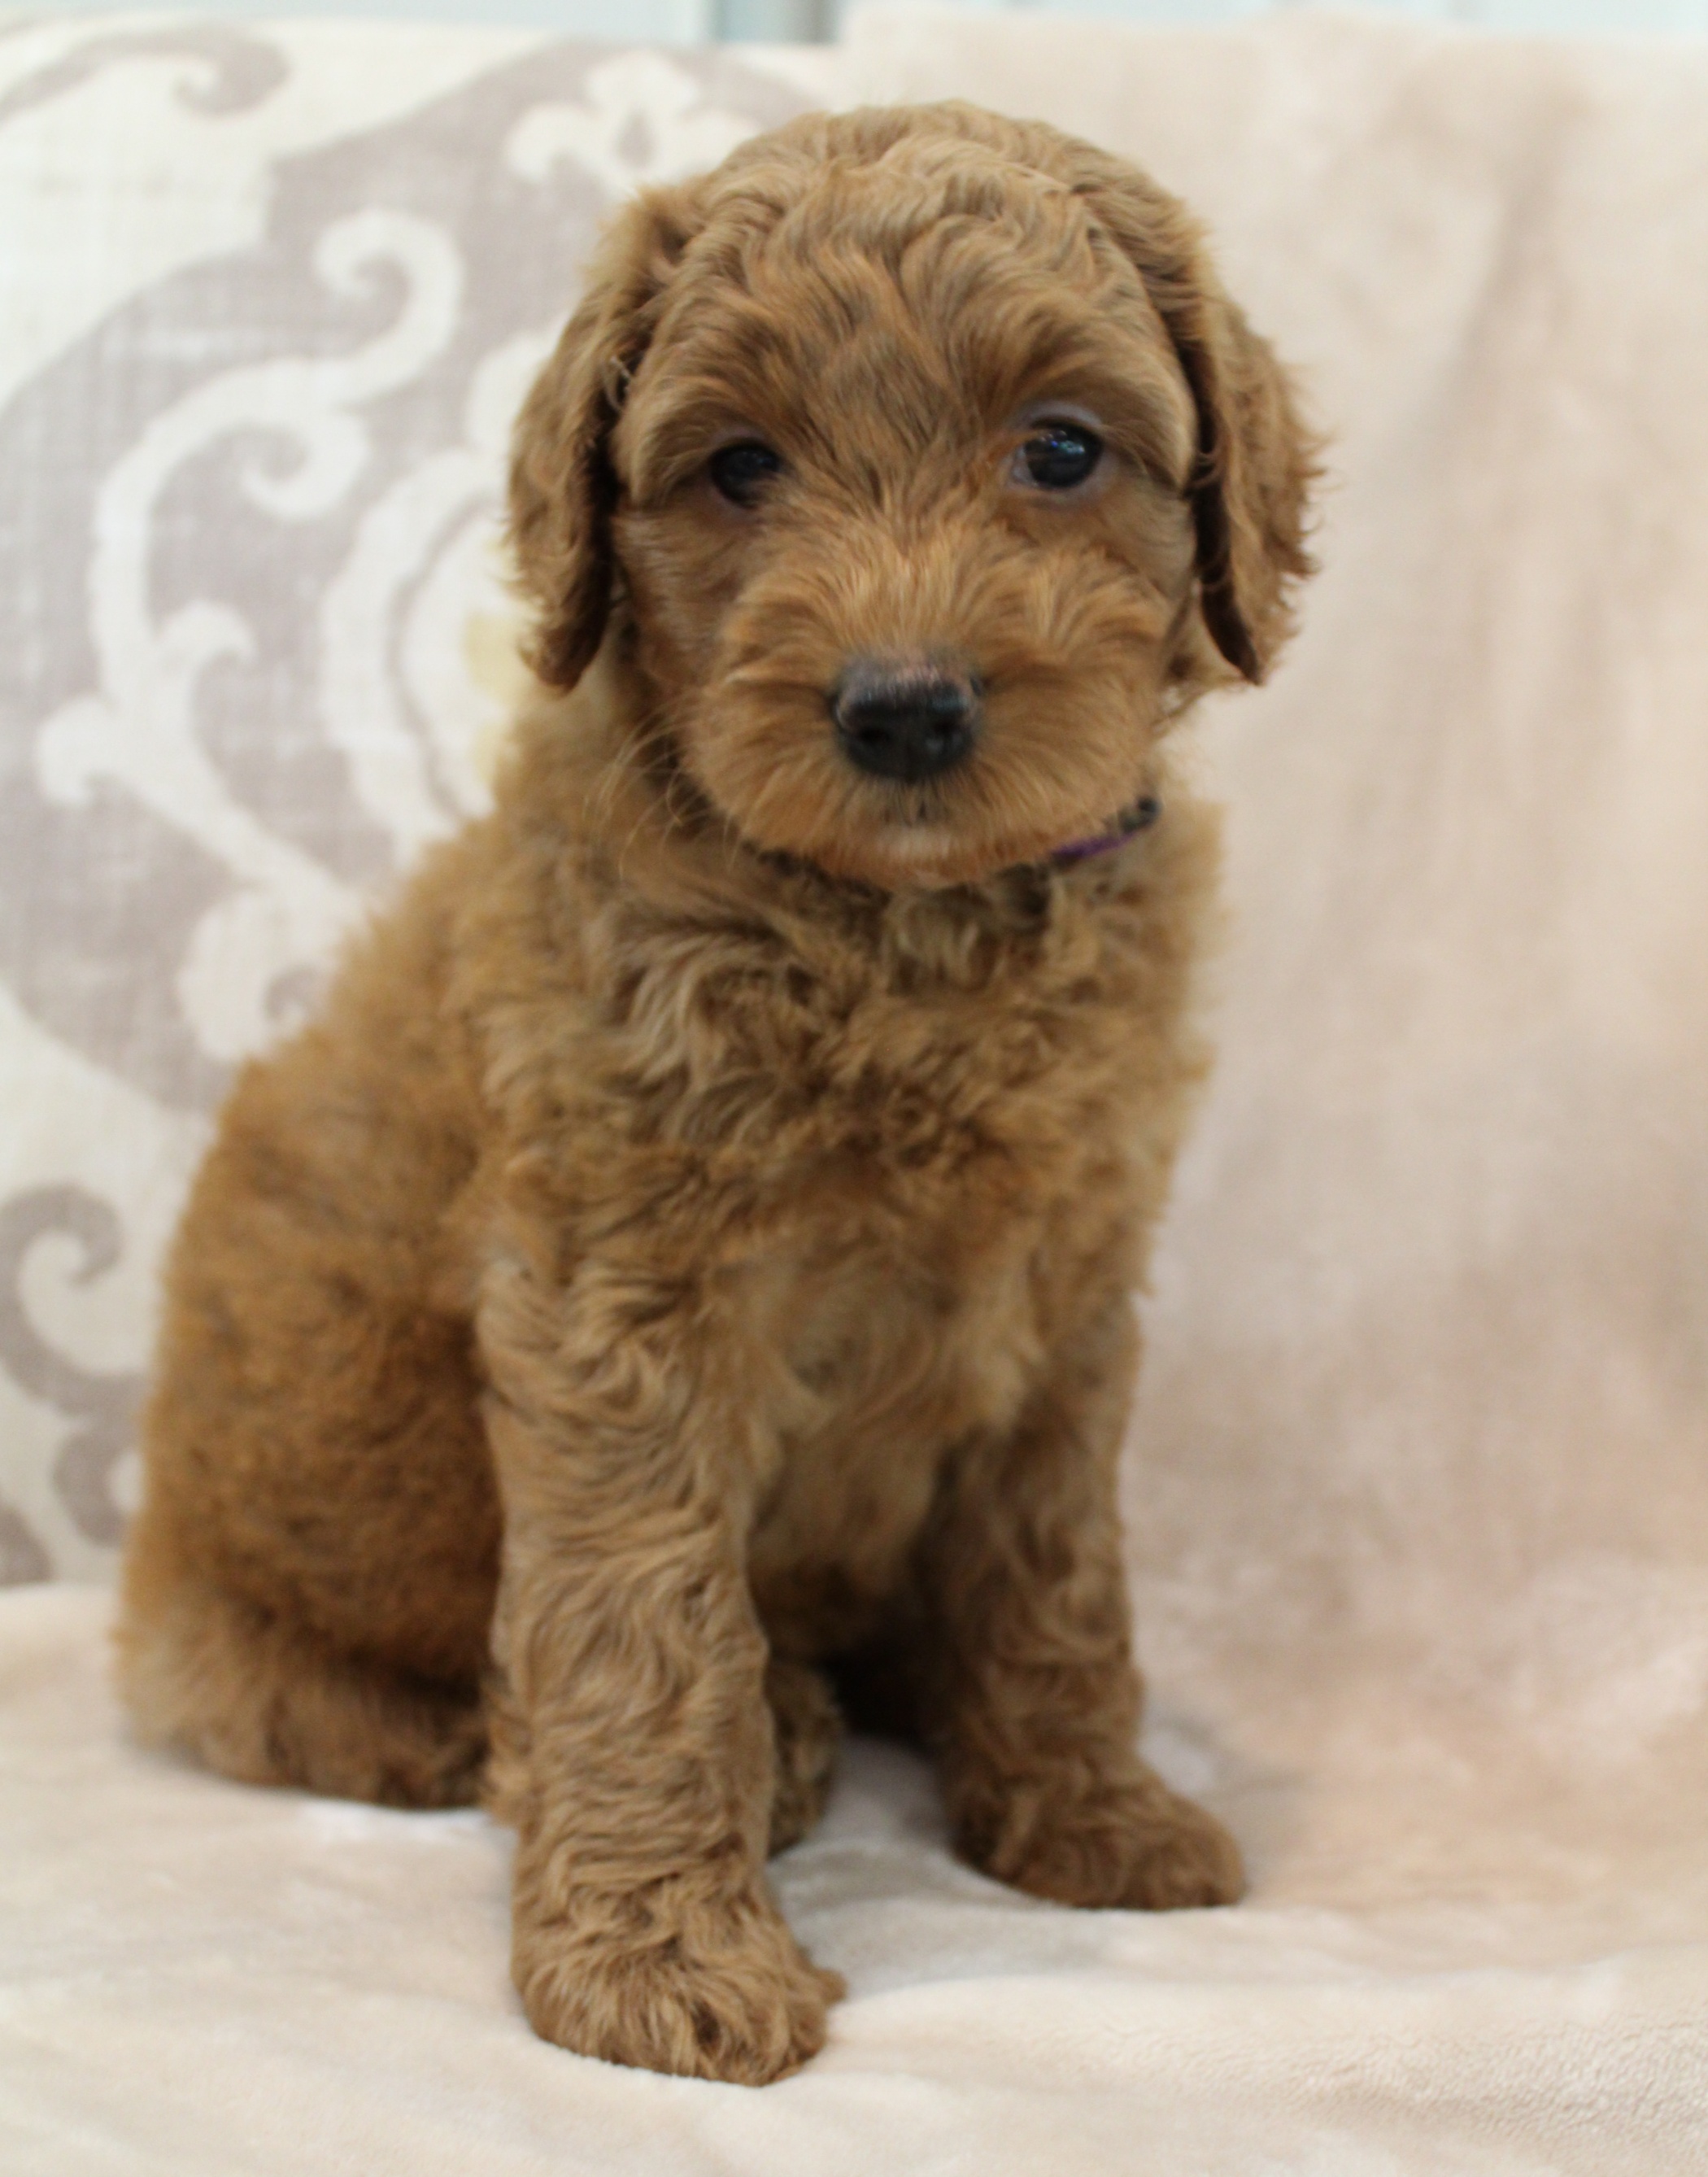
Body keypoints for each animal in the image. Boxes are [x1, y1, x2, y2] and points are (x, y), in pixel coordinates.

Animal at [116, 101, 1314, 2085]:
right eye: (739, 465)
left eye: (1064, 448)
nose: (902, 708)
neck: (906, 926)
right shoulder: (623, 1292)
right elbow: (644, 1621)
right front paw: (657, 1962)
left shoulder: (1068, 1284)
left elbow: (1054, 1571)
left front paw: (1087, 1810)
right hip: (251, 1609)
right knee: (345, 1709)